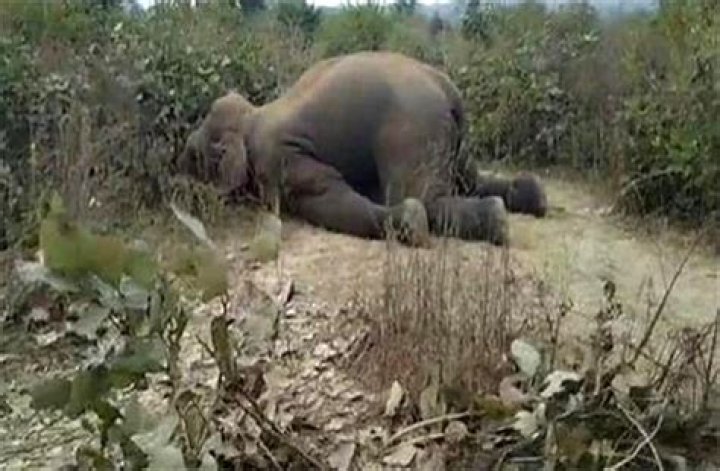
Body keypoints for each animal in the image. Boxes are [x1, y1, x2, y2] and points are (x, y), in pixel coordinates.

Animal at [176, 51, 547, 246]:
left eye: (193, 155)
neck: (252, 113)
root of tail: (447, 88)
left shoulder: (278, 157)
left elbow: (324, 197)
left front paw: (411, 223)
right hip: (451, 137)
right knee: (468, 179)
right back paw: (532, 197)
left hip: (412, 128)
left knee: (420, 195)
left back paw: (494, 219)